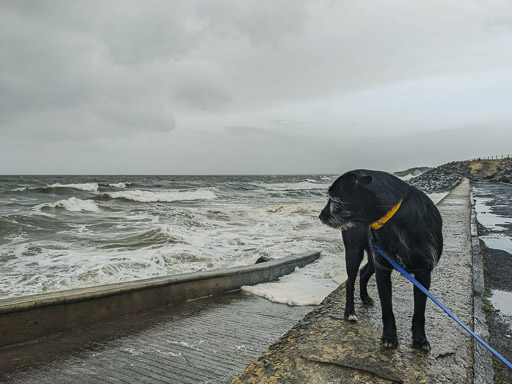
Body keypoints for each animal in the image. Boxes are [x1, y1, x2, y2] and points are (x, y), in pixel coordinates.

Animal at [320, 169, 444, 352]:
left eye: (333, 198)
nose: (320, 216)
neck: (394, 215)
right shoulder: (383, 270)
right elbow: (387, 309)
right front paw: (389, 337)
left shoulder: (423, 274)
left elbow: (419, 312)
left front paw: (420, 339)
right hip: (355, 253)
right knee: (350, 282)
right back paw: (350, 312)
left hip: (373, 258)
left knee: (363, 273)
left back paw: (365, 298)